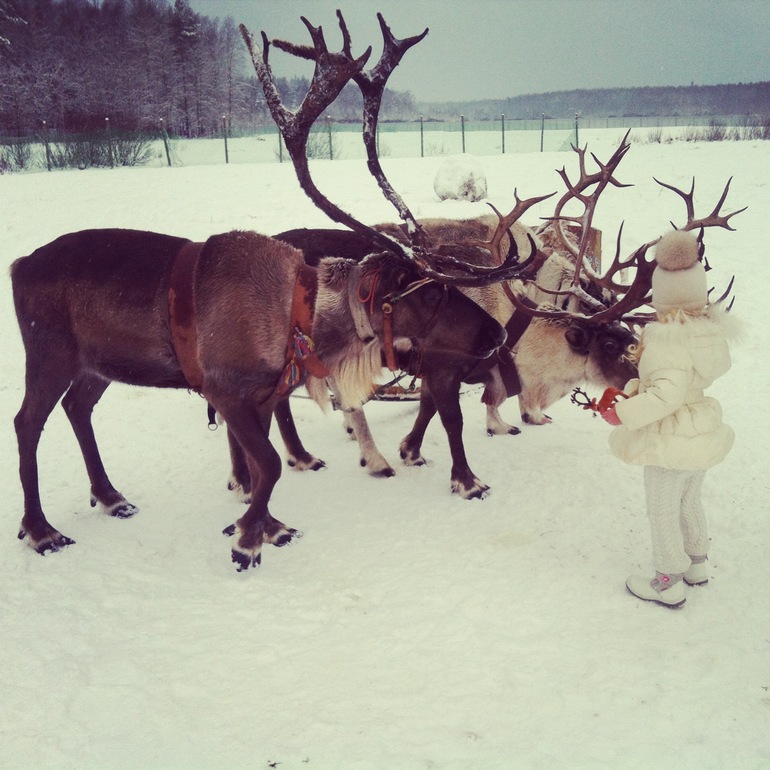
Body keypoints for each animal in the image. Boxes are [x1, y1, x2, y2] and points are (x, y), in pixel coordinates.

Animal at [11, 13, 548, 570]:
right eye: (430, 292)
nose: (494, 334)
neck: (300, 312)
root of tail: (19, 265)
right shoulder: (225, 389)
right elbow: (267, 465)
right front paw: (247, 537)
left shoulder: (263, 395)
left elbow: (261, 463)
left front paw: (266, 525)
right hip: (48, 352)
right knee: (26, 422)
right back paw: (41, 529)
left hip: (98, 363)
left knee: (78, 408)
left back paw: (111, 496)